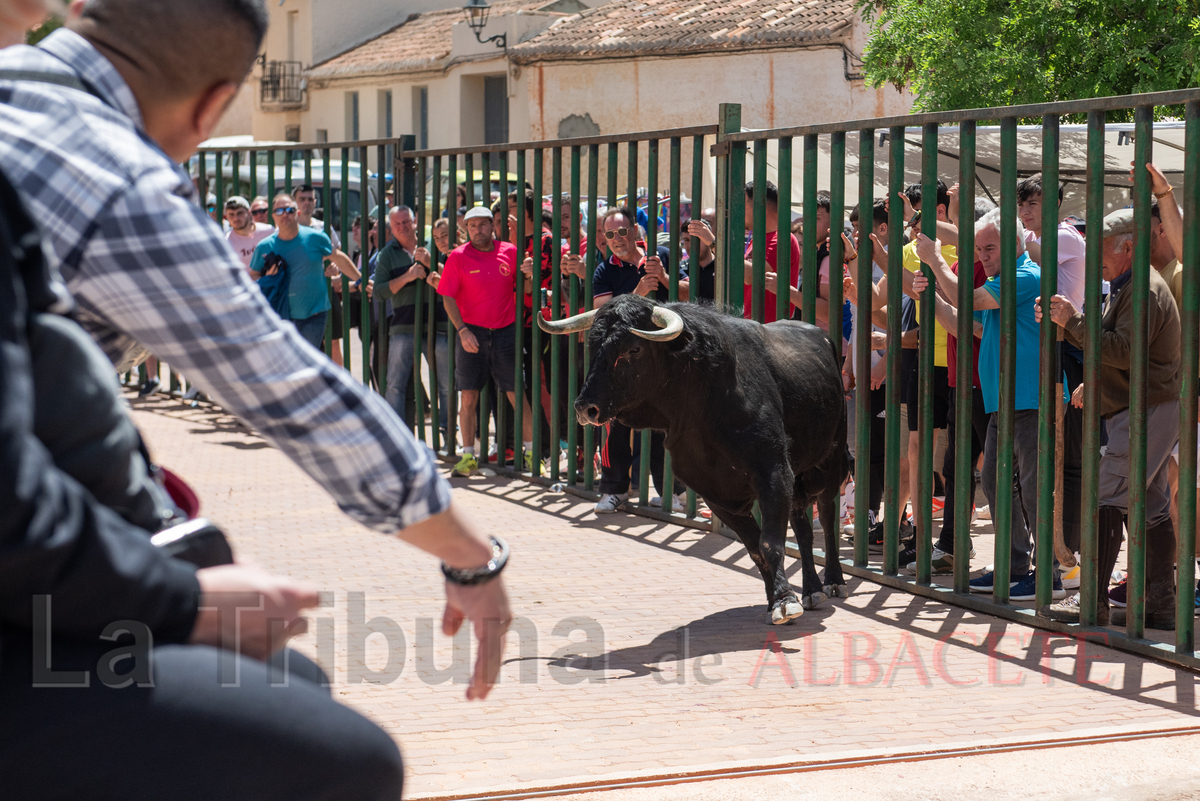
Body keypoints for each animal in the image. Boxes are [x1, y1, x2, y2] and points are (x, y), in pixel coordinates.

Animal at [540, 293, 849, 623]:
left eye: (633, 348)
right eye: (593, 345)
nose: (586, 407)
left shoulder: (774, 472)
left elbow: (770, 543)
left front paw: (783, 601)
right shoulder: (714, 492)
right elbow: (755, 547)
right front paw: (775, 598)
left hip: (832, 459)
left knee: (826, 515)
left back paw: (833, 581)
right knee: (802, 525)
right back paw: (811, 589)